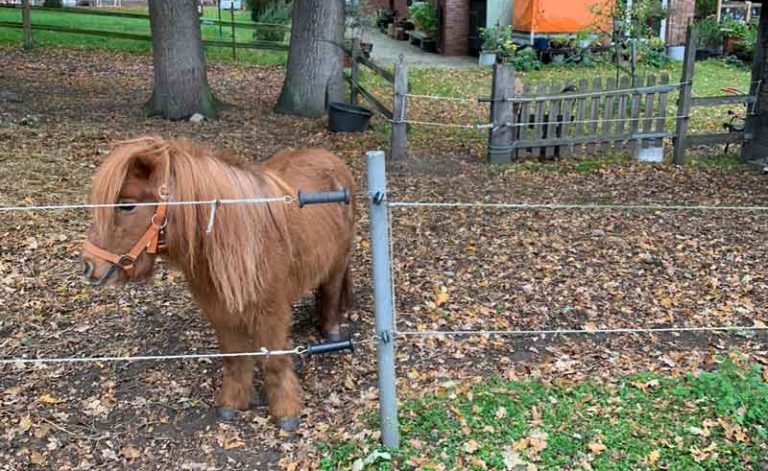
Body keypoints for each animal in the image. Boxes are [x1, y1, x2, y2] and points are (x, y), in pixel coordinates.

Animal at [80, 136, 356, 431]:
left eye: (126, 205)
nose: (88, 266)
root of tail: (331, 159)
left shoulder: (272, 313)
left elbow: (274, 360)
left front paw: (285, 412)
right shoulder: (220, 312)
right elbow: (234, 358)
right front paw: (232, 403)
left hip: (339, 261)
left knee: (331, 291)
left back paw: (331, 331)